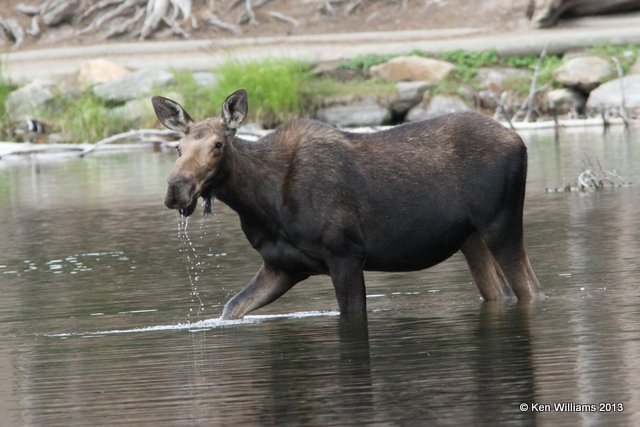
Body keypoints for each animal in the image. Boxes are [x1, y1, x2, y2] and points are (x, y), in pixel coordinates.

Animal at [151, 88, 544, 320]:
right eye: (177, 147)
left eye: (218, 144)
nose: (176, 188)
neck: (261, 204)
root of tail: (520, 141)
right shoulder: (282, 266)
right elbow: (231, 308)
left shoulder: (346, 255)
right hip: (469, 238)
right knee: (502, 293)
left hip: (501, 224)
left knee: (532, 290)